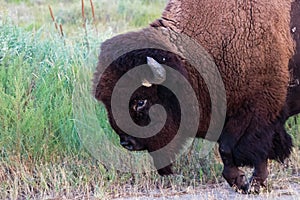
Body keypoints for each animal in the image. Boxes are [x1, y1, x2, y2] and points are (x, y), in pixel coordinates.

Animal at [92, 0, 298, 194]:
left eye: (140, 101)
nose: (127, 142)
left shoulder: (258, 115)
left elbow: (252, 150)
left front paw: (254, 185)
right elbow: (226, 151)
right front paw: (239, 182)